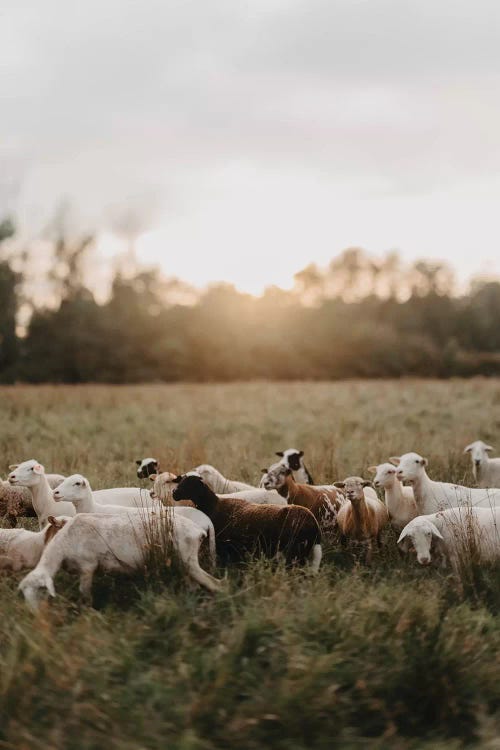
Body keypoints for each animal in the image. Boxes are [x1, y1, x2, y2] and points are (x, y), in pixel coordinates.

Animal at [18, 512, 221, 612]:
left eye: (41, 591)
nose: (34, 615)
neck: (62, 546)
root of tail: (198, 530)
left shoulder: (87, 566)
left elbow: (85, 593)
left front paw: (87, 613)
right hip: (185, 564)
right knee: (195, 586)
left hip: (188, 559)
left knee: (215, 584)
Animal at [172, 472, 322, 572]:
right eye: (181, 481)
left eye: (190, 483)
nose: (174, 493)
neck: (214, 505)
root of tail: (314, 523)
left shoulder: (225, 549)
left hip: (296, 552)